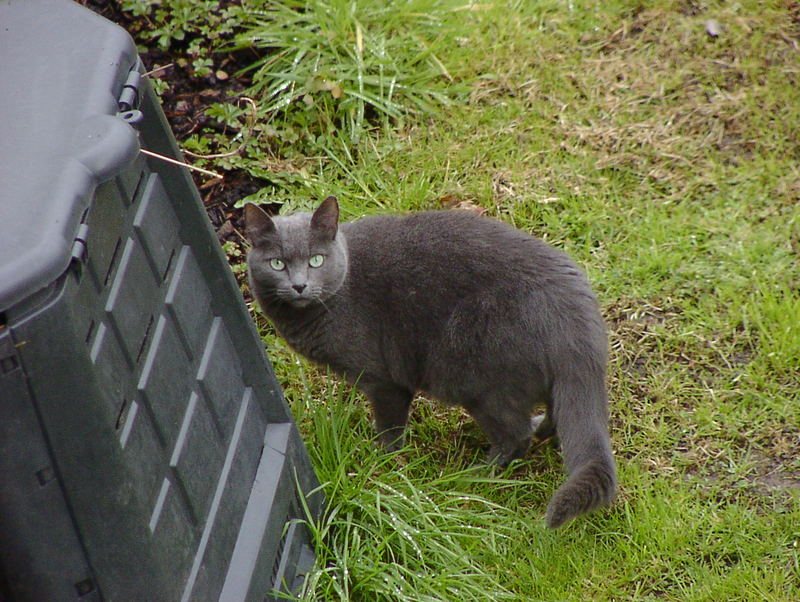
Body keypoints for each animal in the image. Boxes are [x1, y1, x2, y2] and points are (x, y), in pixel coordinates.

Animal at [247, 196, 616, 524]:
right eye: (277, 263)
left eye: (316, 260)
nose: (299, 285)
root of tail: (578, 321)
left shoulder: (385, 381)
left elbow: (390, 427)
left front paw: (382, 463)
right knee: (552, 415)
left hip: (474, 375)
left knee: (515, 435)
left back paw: (471, 478)